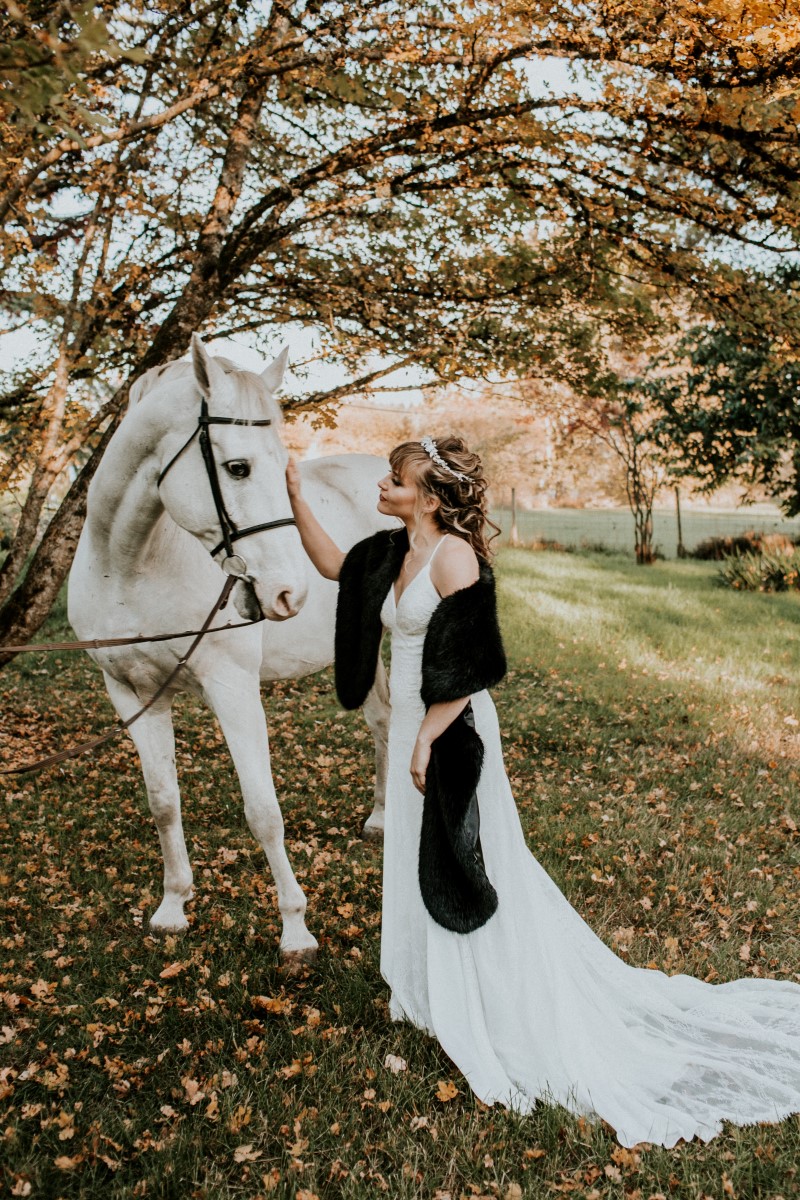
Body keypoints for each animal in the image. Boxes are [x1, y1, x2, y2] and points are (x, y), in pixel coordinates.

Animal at [68, 338, 393, 964]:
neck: (129, 564)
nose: (291, 593)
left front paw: (295, 931)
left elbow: (263, 812)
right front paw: (173, 907)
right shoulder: (131, 694)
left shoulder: (233, 688)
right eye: (237, 467)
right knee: (384, 721)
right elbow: (164, 801)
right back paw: (383, 818)